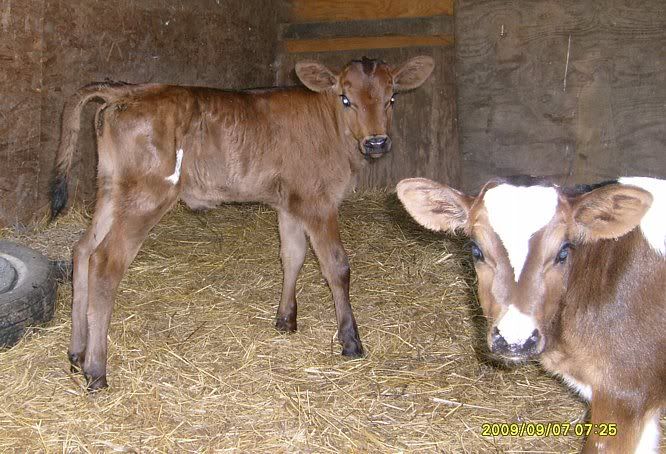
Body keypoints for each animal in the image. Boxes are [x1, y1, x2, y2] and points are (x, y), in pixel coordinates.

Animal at [51, 56, 434, 391]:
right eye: (345, 99)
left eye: (392, 97)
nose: (377, 141)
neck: (330, 127)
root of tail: (130, 89)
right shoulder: (318, 201)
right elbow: (336, 266)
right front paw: (351, 341)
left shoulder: (289, 202)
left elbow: (292, 255)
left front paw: (286, 320)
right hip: (146, 195)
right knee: (105, 262)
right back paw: (96, 371)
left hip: (111, 188)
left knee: (83, 250)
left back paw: (77, 353)